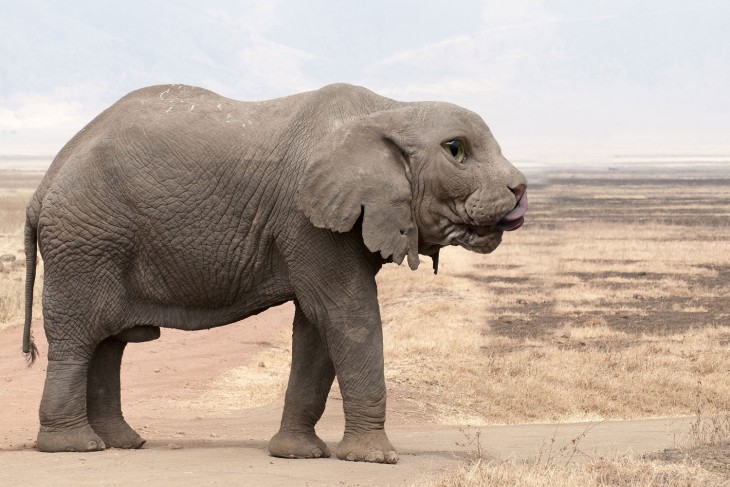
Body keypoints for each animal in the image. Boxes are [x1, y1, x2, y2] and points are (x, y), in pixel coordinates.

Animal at [21, 84, 524, 466]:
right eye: (455, 150)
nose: (520, 190)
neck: (389, 108)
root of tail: (42, 186)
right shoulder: (306, 218)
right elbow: (347, 314)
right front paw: (375, 459)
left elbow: (317, 326)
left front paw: (297, 455)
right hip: (85, 243)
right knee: (78, 338)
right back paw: (75, 447)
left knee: (109, 343)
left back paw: (123, 443)